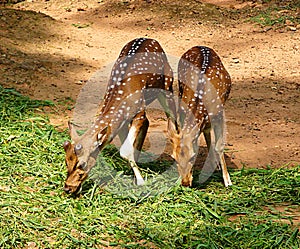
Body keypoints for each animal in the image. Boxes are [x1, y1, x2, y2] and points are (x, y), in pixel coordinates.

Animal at [63, 37, 176, 195]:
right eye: (66, 160)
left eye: (83, 163)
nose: (68, 187)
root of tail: (152, 39)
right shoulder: (121, 123)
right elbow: (127, 148)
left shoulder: (138, 112)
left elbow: (125, 150)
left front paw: (141, 183)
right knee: (149, 122)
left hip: (167, 85)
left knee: (174, 119)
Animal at [168, 46, 233, 187]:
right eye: (174, 158)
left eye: (193, 157)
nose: (185, 183)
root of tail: (198, 46)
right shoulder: (183, 111)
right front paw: (177, 180)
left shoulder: (219, 114)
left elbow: (219, 146)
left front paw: (227, 180)